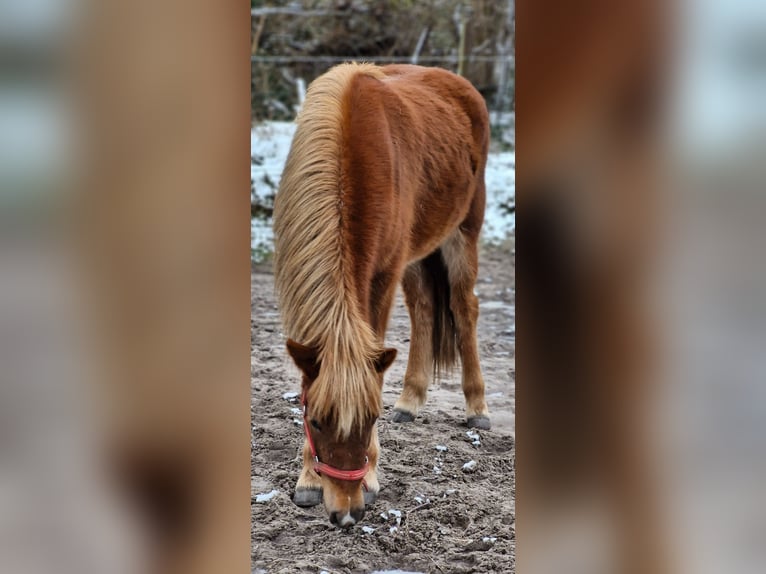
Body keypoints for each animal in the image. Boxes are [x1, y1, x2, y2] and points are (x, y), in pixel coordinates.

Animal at [274, 64, 492, 532]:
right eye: (314, 419)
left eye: (371, 417)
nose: (346, 512)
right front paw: (307, 479)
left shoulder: (382, 273)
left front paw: (371, 475)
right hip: (416, 251)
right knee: (424, 308)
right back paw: (410, 400)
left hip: (463, 232)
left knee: (464, 308)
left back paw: (477, 405)